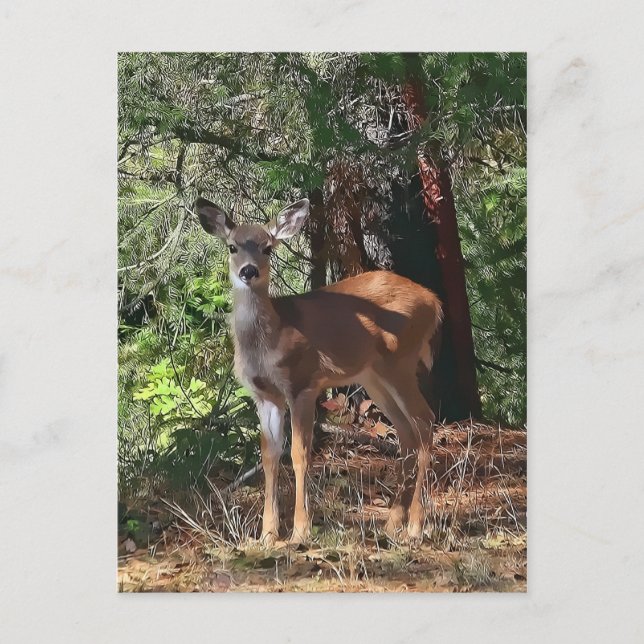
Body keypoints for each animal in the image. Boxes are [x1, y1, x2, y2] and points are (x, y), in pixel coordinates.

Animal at [195, 196, 443, 546]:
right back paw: (392, 523)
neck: (270, 340)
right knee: (407, 431)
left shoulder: (302, 383)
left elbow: (299, 454)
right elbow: (269, 456)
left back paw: (415, 526)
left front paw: (300, 531)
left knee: (424, 421)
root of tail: (434, 302)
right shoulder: (264, 395)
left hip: (400, 361)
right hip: (375, 375)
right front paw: (267, 534)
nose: (248, 271)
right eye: (232, 246)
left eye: (267, 247)